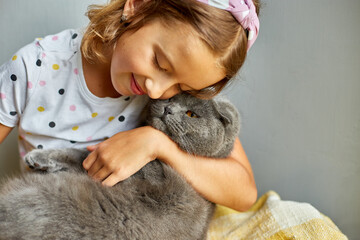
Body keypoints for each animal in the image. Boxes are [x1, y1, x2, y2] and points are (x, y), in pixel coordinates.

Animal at [0, 93, 242, 240]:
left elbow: (78, 155)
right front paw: (36, 156)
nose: (168, 109)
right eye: (172, 97)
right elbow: (75, 154)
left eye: (192, 114)